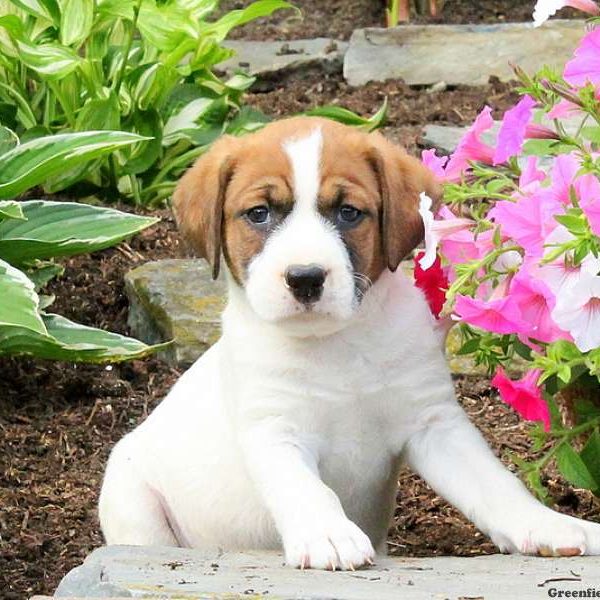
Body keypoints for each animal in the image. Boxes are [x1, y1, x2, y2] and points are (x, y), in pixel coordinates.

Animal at [99, 118, 600, 572]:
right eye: (259, 213)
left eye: (348, 213)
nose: (305, 278)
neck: (338, 346)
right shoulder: (274, 429)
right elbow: (305, 487)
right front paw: (328, 534)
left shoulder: (435, 424)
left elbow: (495, 485)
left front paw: (548, 524)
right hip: (130, 495)